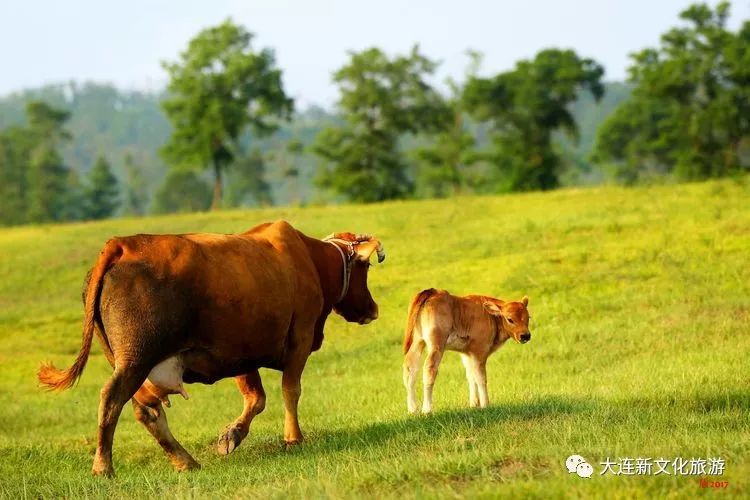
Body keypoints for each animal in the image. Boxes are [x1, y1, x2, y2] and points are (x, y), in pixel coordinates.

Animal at [38, 223, 384, 476]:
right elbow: (290, 390)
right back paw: (103, 467)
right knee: (112, 400)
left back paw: (185, 461)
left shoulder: (242, 352)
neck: (310, 260)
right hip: (136, 360)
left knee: (146, 409)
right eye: (364, 268)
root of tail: (124, 244)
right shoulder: (300, 337)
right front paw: (293, 439)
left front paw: (232, 435)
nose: (373, 309)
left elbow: (256, 398)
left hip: (128, 361)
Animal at [402, 290, 532, 414]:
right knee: (429, 369)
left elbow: (471, 376)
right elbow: (481, 378)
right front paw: (485, 404)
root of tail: (433, 292)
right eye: (510, 319)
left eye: (528, 317)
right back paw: (427, 409)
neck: (491, 317)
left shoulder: (467, 354)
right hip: (436, 345)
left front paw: (474, 404)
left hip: (418, 341)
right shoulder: (479, 352)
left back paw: (412, 410)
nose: (525, 335)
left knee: (410, 368)